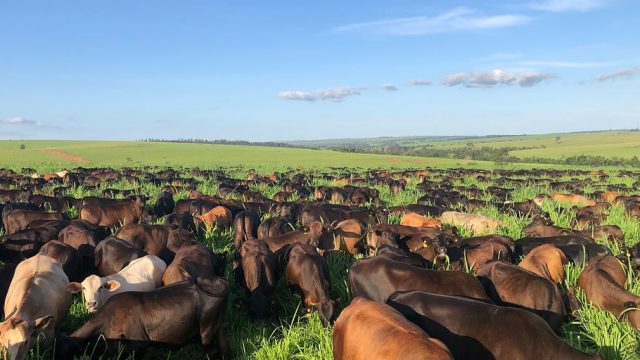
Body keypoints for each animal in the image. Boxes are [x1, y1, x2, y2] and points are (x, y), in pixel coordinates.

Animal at [56, 276, 229, 358]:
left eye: (62, 351)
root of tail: (218, 279)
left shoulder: (139, 344)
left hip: (206, 330)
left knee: (212, 351)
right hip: (218, 326)